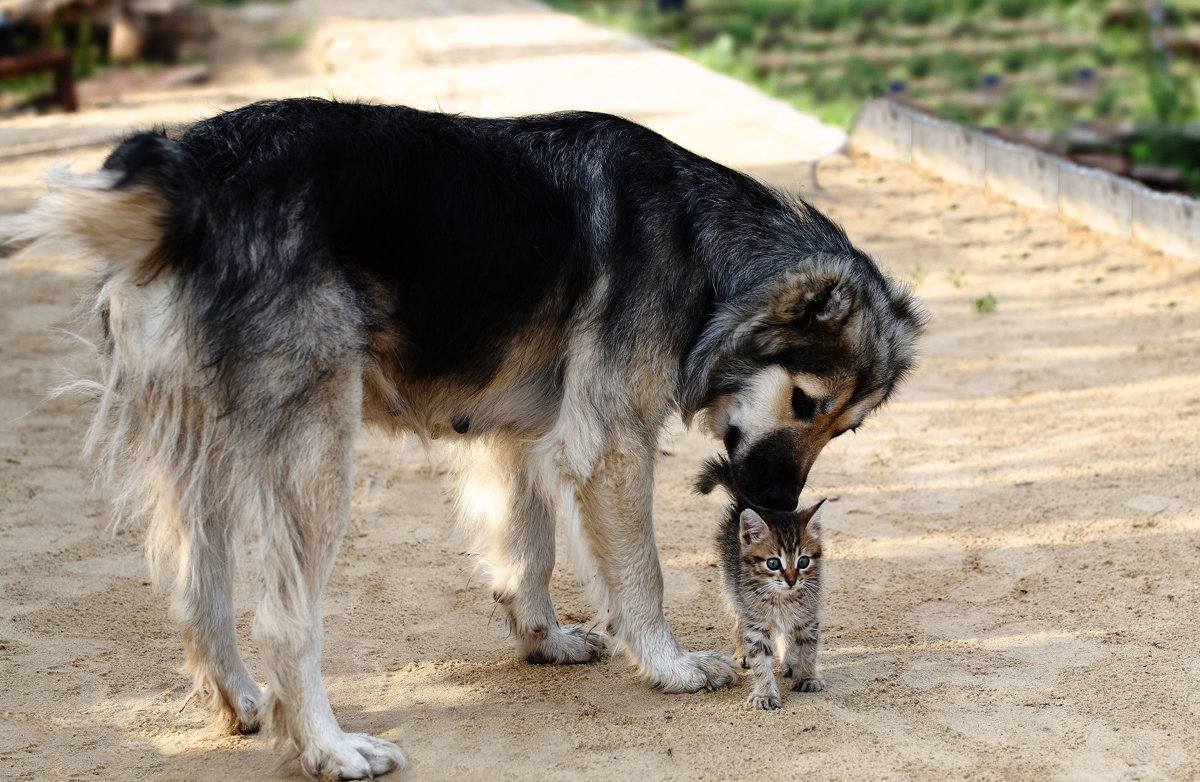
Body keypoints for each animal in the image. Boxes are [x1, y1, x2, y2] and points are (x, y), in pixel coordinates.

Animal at [696, 458, 825, 710]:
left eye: (803, 561)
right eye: (773, 563)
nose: (792, 580)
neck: (783, 598)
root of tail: (743, 505)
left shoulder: (807, 617)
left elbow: (808, 648)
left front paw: (807, 675)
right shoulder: (756, 622)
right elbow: (761, 662)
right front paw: (765, 692)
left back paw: (789, 660)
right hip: (734, 589)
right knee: (738, 620)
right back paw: (742, 651)